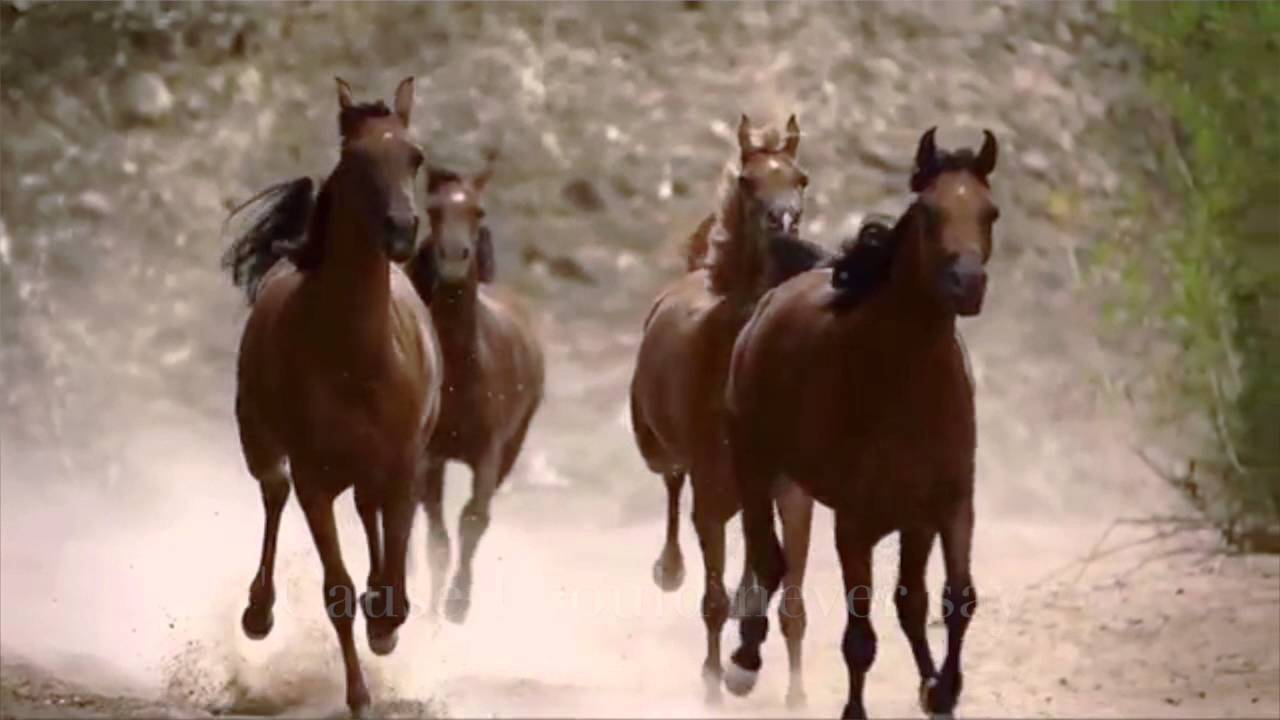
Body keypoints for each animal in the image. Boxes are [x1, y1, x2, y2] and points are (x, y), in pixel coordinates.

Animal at [221, 77, 440, 718]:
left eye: (414, 157)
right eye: (355, 159)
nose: (401, 229)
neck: (357, 359)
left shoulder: (403, 467)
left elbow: (392, 579)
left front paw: (384, 625)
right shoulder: (314, 479)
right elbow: (336, 589)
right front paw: (359, 694)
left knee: (367, 514)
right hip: (261, 443)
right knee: (273, 494)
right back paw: (258, 613)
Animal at [405, 158, 545, 624]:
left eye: (478, 211)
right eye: (433, 210)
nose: (453, 257)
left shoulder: (489, 452)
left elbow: (473, 519)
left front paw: (457, 603)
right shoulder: (426, 456)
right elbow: (435, 536)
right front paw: (432, 610)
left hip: (511, 447)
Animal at [628, 114, 821, 706]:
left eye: (800, 178)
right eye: (747, 180)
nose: (785, 224)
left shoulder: (792, 490)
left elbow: (790, 597)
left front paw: (793, 691)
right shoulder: (712, 492)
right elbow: (713, 597)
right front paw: (719, 680)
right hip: (660, 450)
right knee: (671, 483)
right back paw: (669, 568)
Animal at [722, 127, 1000, 719]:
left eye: (990, 212)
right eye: (930, 212)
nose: (967, 283)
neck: (907, 385)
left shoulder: (947, 507)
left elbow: (952, 600)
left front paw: (942, 690)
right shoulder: (855, 522)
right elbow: (860, 634)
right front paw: (859, 709)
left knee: (910, 601)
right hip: (755, 464)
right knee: (769, 558)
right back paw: (743, 663)